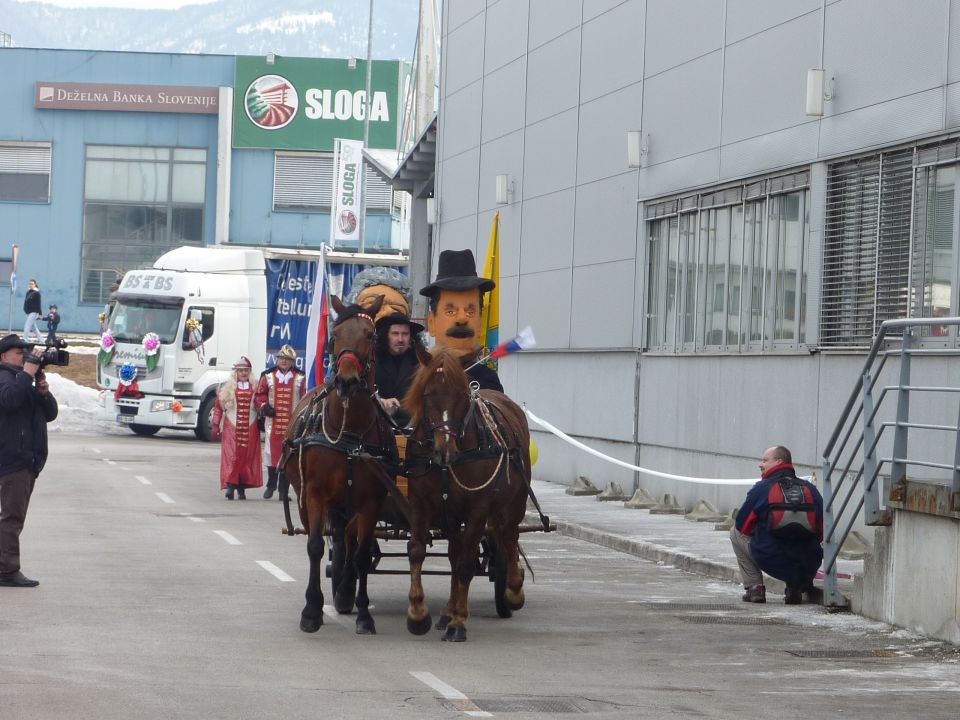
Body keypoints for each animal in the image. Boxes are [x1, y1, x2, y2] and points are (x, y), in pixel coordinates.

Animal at [280, 296, 400, 632]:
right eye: (335, 335)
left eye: (370, 335)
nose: (346, 380)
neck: (349, 433)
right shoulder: (315, 494)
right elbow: (315, 547)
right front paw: (311, 610)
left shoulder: (371, 500)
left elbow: (361, 554)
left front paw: (364, 614)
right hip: (309, 498)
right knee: (328, 537)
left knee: (348, 538)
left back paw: (346, 590)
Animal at [402, 348, 528, 640]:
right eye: (428, 394)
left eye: (461, 394)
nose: (445, 449)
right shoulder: (420, 503)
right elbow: (417, 551)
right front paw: (418, 613)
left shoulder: (478, 508)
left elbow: (466, 564)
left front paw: (459, 621)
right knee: (455, 551)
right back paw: (447, 609)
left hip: (514, 503)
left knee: (508, 537)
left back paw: (513, 590)